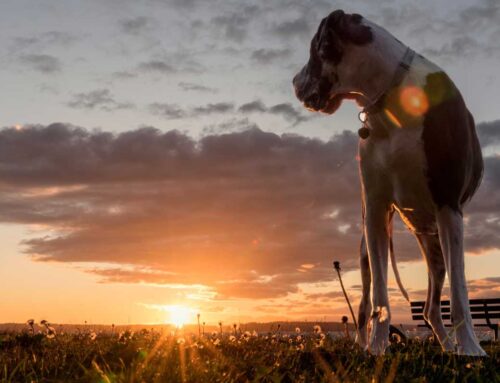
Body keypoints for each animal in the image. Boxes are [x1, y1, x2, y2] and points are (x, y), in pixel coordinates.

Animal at [292, 9, 484, 356]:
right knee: (367, 302)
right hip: (368, 249)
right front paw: (377, 349)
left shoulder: (449, 205)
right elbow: (380, 298)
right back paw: (364, 343)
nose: (294, 83)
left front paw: (471, 349)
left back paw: (450, 346)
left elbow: (460, 292)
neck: (390, 98)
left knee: (432, 305)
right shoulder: (376, 210)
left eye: (314, 48)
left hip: (436, 245)